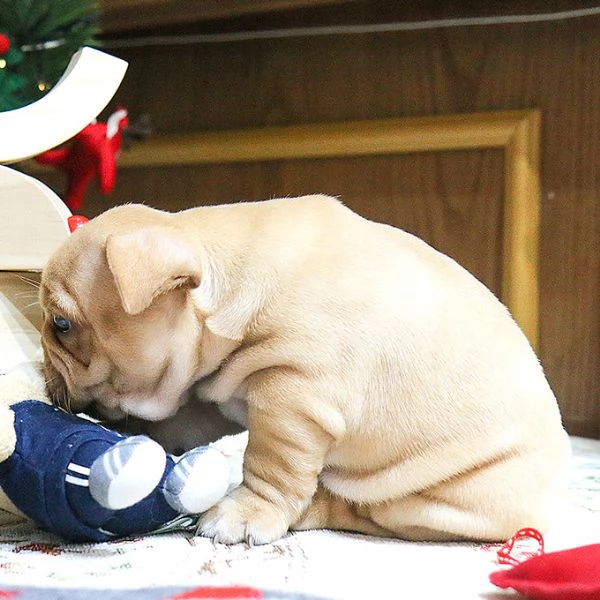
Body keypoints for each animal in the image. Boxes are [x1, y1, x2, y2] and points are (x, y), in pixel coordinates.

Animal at [39, 196, 568, 544]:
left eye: (61, 325)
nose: (43, 366)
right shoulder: (212, 392)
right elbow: (181, 423)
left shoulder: (292, 397)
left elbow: (271, 464)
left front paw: (245, 513)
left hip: (445, 500)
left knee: (364, 513)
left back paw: (313, 507)